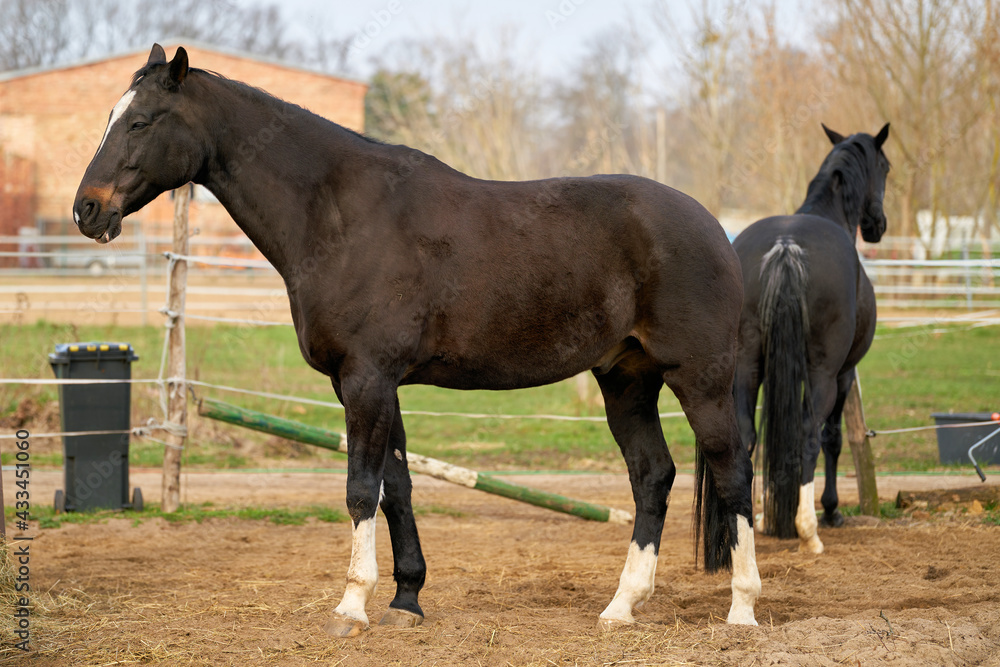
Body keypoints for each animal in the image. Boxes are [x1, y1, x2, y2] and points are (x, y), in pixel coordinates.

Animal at [74, 45, 760, 632]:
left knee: (733, 470)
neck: (342, 217)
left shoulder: (366, 379)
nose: (87, 209)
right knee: (653, 476)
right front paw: (406, 599)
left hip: (699, 378)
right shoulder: (376, 383)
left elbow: (360, 488)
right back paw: (622, 606)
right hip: (626, 380)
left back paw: (742, 609)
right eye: (108, 117)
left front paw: (352, 606)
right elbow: (396, 486)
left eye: (142, 121)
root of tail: (714, 228)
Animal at [736, 122, 892, 552]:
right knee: (810, 433)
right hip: (823, 376)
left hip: (746, 369)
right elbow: (832, 439)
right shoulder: (843, 375)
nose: (878, 226)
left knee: (746, 435)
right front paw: (832, 510)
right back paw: (808, 530)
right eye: (885, 168)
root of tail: (786, 247)